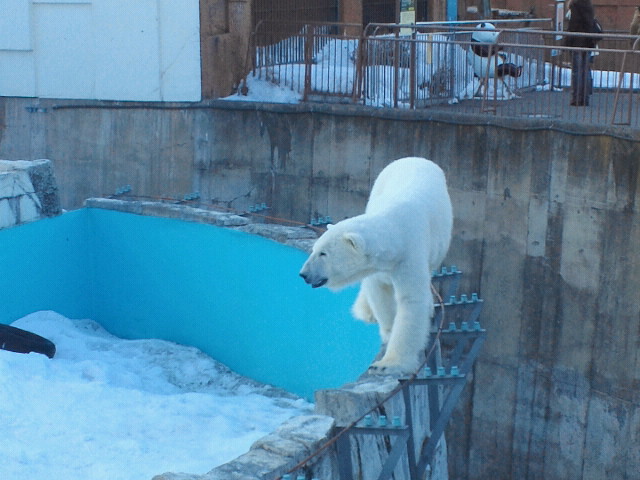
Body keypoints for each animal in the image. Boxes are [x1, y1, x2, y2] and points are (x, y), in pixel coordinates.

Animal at [298, 158, 452, 376]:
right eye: (315, 249)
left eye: (323, 253)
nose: (304, 274)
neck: (394, 229)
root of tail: (416, 158)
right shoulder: (378, 267)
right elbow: (378, 291)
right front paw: (387, 331)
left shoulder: (410, 254)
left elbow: (411, 300)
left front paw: (386, 364)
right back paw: (365, 311)